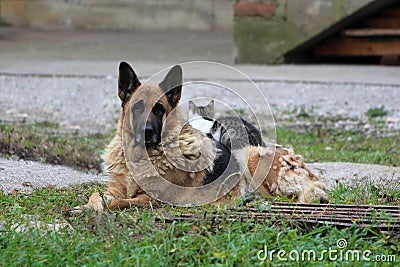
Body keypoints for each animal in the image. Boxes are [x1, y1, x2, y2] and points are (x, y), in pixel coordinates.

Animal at [81, 62, 328, 211]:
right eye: (138, 107)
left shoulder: (151, 199)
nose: (147, 132)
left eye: (159, 109)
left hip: (249, 155)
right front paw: (88, 206)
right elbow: (96, 195)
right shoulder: (113, 189)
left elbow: (118, 203)